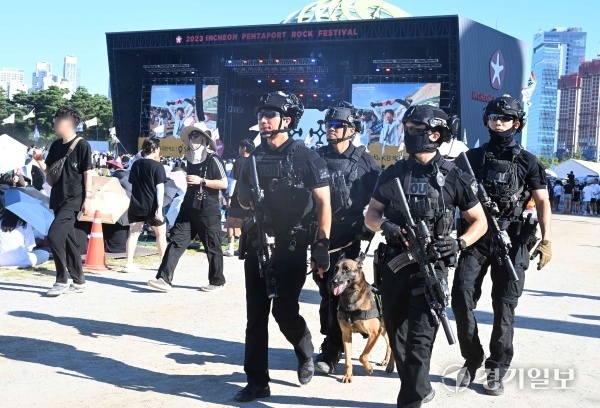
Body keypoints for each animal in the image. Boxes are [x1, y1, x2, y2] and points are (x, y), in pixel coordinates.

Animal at [328, 252, 394, 382]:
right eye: (335, 268)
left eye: (346, 269)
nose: (334, 281)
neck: (351, 298)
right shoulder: (346, 335)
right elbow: (348, 360)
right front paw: (348, 375)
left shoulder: (374, 333)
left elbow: (362, 356)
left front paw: (369, 368)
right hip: (383, 330)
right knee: (389, 344)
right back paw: (386, 361)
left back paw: (390, 365)